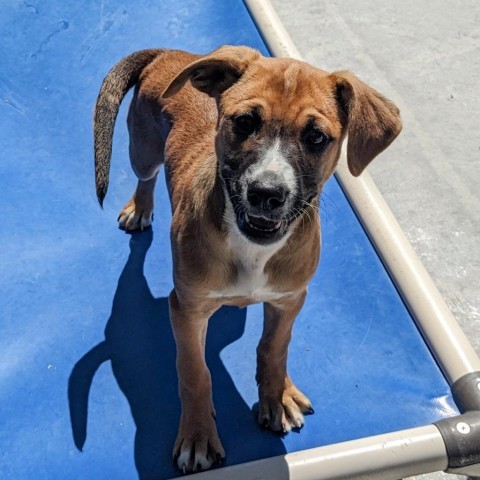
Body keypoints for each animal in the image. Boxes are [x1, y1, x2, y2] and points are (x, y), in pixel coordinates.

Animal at [94, 45, 402, 472]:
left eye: (316, 137)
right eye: (244, 122)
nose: (266, 193)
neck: (252, 249)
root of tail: (171, 53)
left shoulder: (290, 299)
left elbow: (275, 348)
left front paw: (277, 397)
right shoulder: (186, 308)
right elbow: (195, 372)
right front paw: (197, 435)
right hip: (142, 149)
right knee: (146, 177)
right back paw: (140, 207)